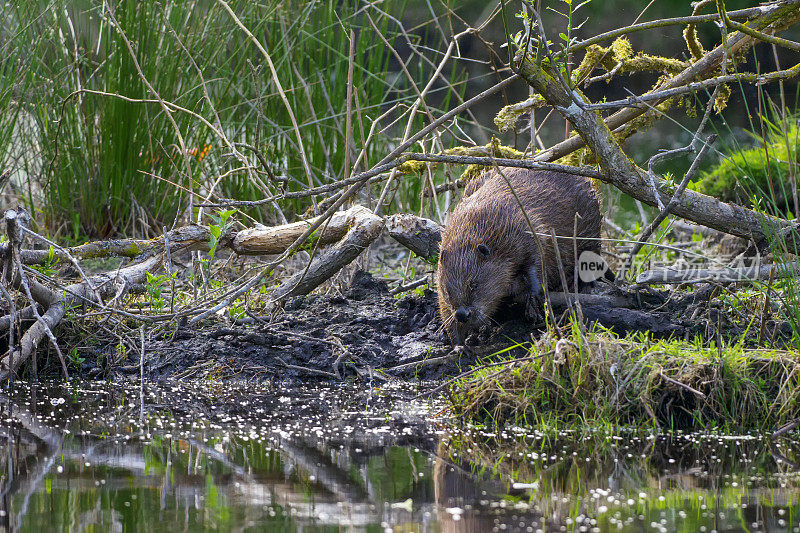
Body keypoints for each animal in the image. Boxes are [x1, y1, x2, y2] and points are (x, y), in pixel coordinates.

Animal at [434, 167, 604, 344]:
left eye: (474, 285)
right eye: (448, 290)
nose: (462, 314)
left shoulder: (526, 229)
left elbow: (536, 259)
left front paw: (533, 302)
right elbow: (443, 307)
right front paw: (457, 342)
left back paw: (582, 284)